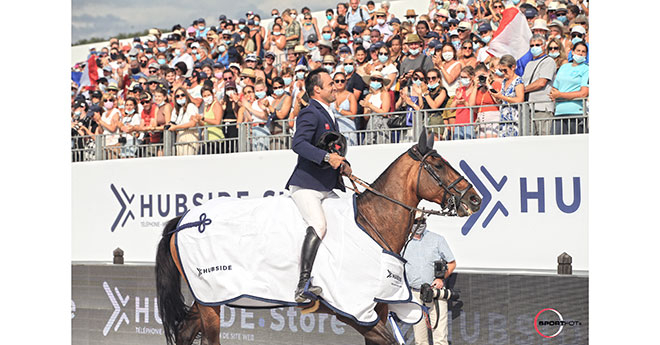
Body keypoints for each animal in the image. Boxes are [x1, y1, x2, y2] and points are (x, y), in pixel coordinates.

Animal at [157, 130, 482, 342]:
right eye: (438, 165)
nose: (475, 200)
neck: (372, 222)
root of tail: (185, 220)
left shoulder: (377, 308)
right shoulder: (355, 313)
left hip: (206, 298)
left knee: (185, 331)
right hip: (209, 300)